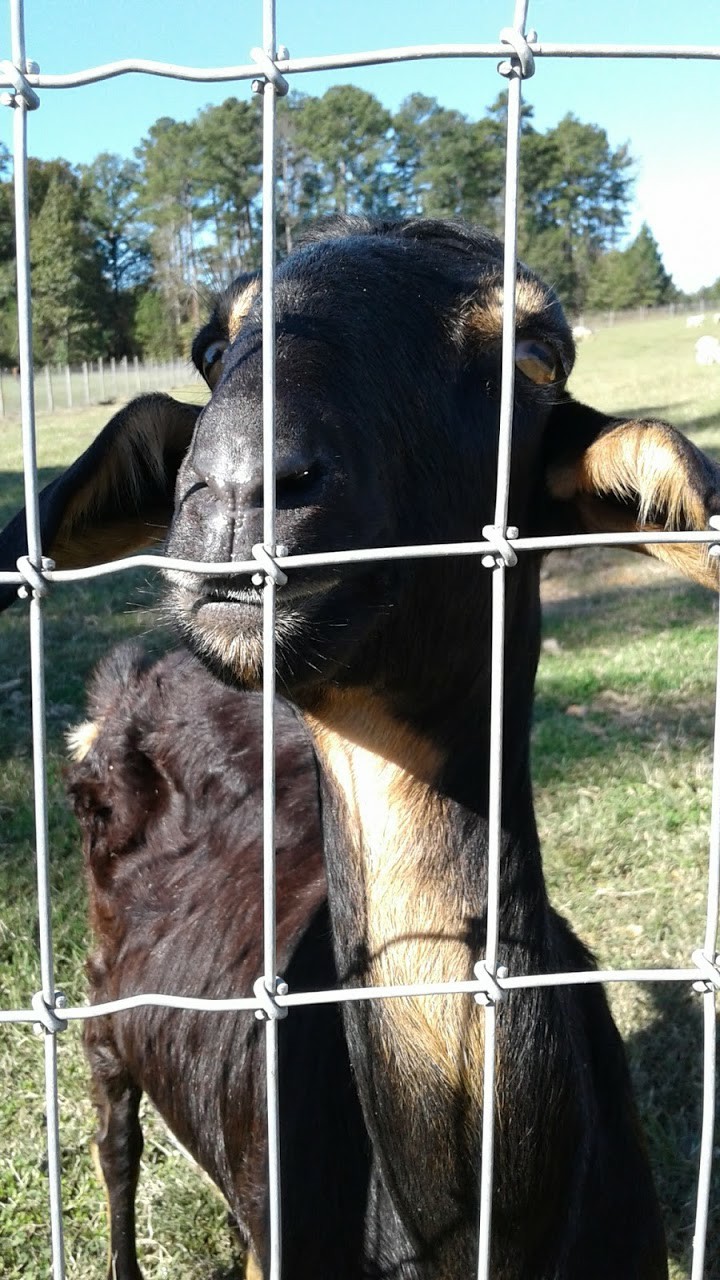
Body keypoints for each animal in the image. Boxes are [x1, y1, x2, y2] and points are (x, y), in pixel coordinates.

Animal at [4, 215, 720, 1277]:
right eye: (211, 348)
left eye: (537, 357)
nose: (239, 487)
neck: (464, 1228)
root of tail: (130, 682)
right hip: (97, 1009)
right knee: (114, 1142)